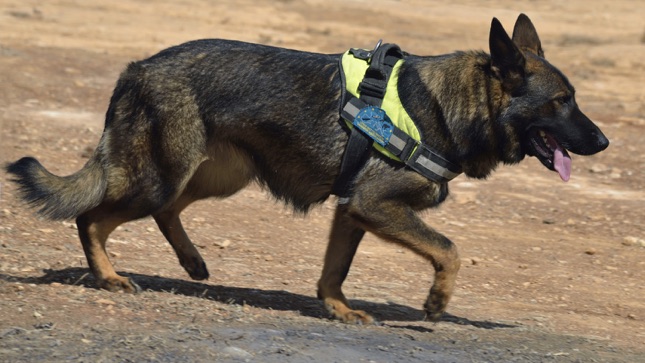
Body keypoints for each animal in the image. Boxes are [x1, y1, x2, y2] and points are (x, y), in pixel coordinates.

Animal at [6, 14, 608, 324]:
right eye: (561, 102)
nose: (603, 141)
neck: (454, 104)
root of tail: (136, 68)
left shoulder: (354, 212)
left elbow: (334, 270)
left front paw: (337, 309)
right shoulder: (374, 206)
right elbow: (450, 250)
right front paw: (436, 302)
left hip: (214, 177)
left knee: (164, 212)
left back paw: (193, 262)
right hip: (162, 177)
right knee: (92, 218)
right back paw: (109, 277)